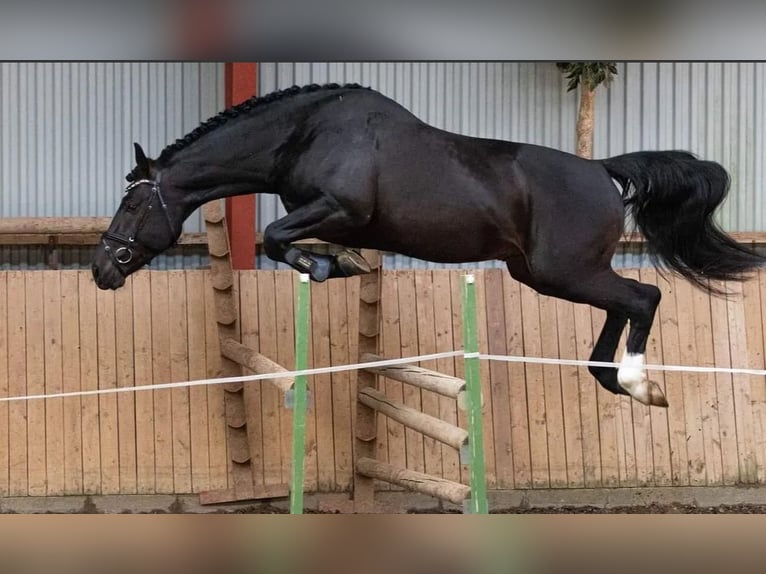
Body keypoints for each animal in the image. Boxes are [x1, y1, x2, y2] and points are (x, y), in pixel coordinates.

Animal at [91, 82, 766, 408]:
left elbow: (277, 238)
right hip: (541, 274)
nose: (102, 268)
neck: (304, 133)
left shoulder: (341, 209)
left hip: (563, 271)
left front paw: (326, 266)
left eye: (132, 204)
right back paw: (612, 379)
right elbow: (282, 238)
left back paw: (637, 384)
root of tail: (603, 171)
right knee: (622, 304)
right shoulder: (333, 216)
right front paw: (337, 265)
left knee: (643, 297)